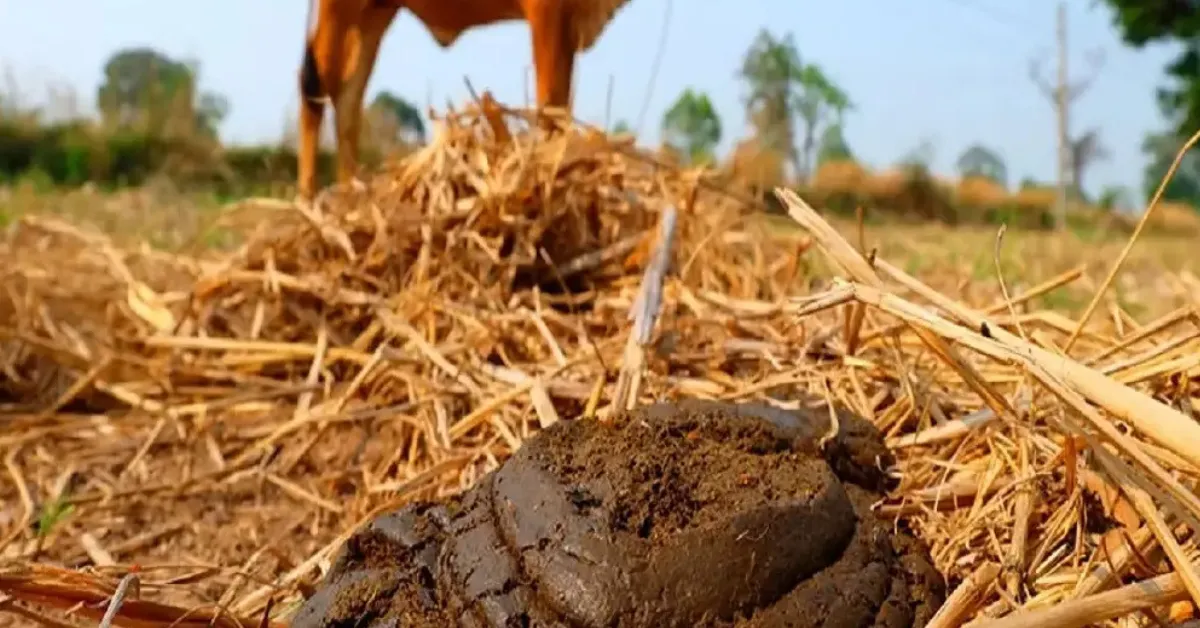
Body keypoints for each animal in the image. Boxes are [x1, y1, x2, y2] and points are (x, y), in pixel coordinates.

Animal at [296, 0, 634, 201]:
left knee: (348, 96)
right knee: (314, 85)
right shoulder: (547, 13)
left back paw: (349, 194)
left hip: (375, 11)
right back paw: (308, 199)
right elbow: (552, 106)